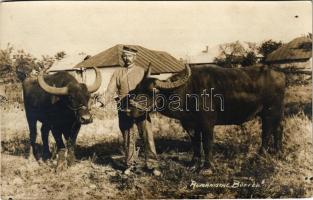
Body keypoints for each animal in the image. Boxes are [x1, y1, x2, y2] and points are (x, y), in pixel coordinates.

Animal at [128, 64, 284, 173]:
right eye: (137, 88)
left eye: (152, 92)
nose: (130, 110)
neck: (188, 92)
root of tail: (279, 74)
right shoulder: (190, 124)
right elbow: (196, 143)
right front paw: (193, 163)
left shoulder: (207, 124)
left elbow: (207, 143)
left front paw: (206, 167)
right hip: (276, 114)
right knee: (278, 130)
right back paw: (278, 153)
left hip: (270, 112)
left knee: (267, 133)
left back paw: (260, 157)